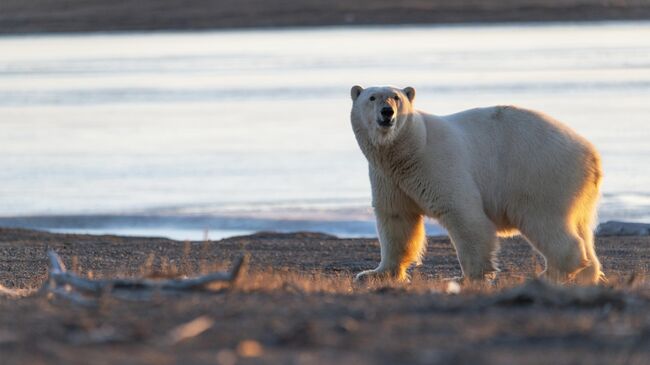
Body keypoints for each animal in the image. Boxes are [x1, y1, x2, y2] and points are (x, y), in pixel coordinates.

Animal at [350, 85, 604, 284]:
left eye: (396, 97)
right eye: (372, 97)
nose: (387, 112)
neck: (410, 148)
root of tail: (591, 154)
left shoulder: (438, 164)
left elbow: (464, 215)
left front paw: (467, 276)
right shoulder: (390, 179)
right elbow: (396, 220)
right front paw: (374, 273)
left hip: (541, 174)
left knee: (544, 221)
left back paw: (551, 273)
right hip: (575, 189)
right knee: (581, 228)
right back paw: (586, 274)